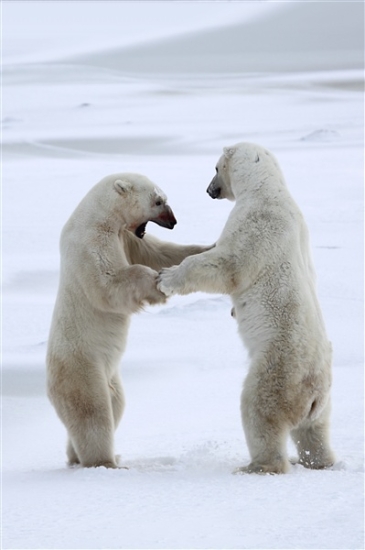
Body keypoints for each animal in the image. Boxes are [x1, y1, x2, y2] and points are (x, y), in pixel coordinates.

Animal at [46, 174, 210, 470]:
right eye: (158, 201)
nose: (174, 221)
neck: (99, 215)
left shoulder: (127, 236)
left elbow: (159, 252)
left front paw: (207, 248)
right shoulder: (92, 243)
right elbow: (110, 282)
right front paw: (156, 284)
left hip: (110, 374)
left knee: (116, 403)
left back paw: (77, 457)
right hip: (81, 368)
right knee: (94, 414)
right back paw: (106, 462)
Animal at [158, 144, 334, 476]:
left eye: (215, 168)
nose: (209, 190)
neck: (266, 187)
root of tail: (314, 395)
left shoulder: (257, 221)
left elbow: (229, 264)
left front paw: (167, 277)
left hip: (277, 369)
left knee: (259, 408)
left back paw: (257, 466)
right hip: (323, 401)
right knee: (315, 432)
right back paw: (317, 461)